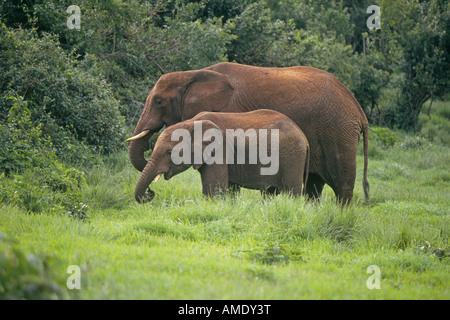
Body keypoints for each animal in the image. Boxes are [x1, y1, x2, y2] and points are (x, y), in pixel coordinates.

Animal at [134, 109, 310, 201]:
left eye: (169, 152)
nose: (150, 192)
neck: (191, 123)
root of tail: (304, 138)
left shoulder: (219, 149)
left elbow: (214, 189)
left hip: (293, 156)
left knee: (291, 192)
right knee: (269, 193)